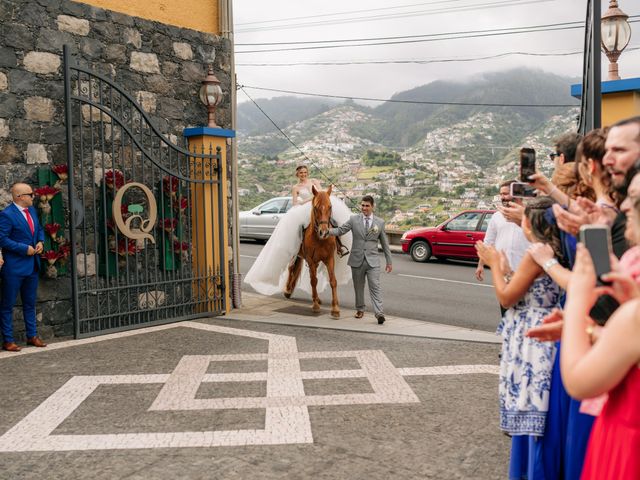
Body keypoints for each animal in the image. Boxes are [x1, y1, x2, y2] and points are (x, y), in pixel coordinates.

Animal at [284, 186, 340, 316]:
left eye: (330, 206)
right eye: (315, 207)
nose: (324, 232)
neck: (320, 239)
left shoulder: (329, 259)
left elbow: (333, 281)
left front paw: (335, 308)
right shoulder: (310, 259)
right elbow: (313, 281)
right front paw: (315, 306)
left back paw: (317, 298)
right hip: (297, 255)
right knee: (291, 268)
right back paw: (288, 290)